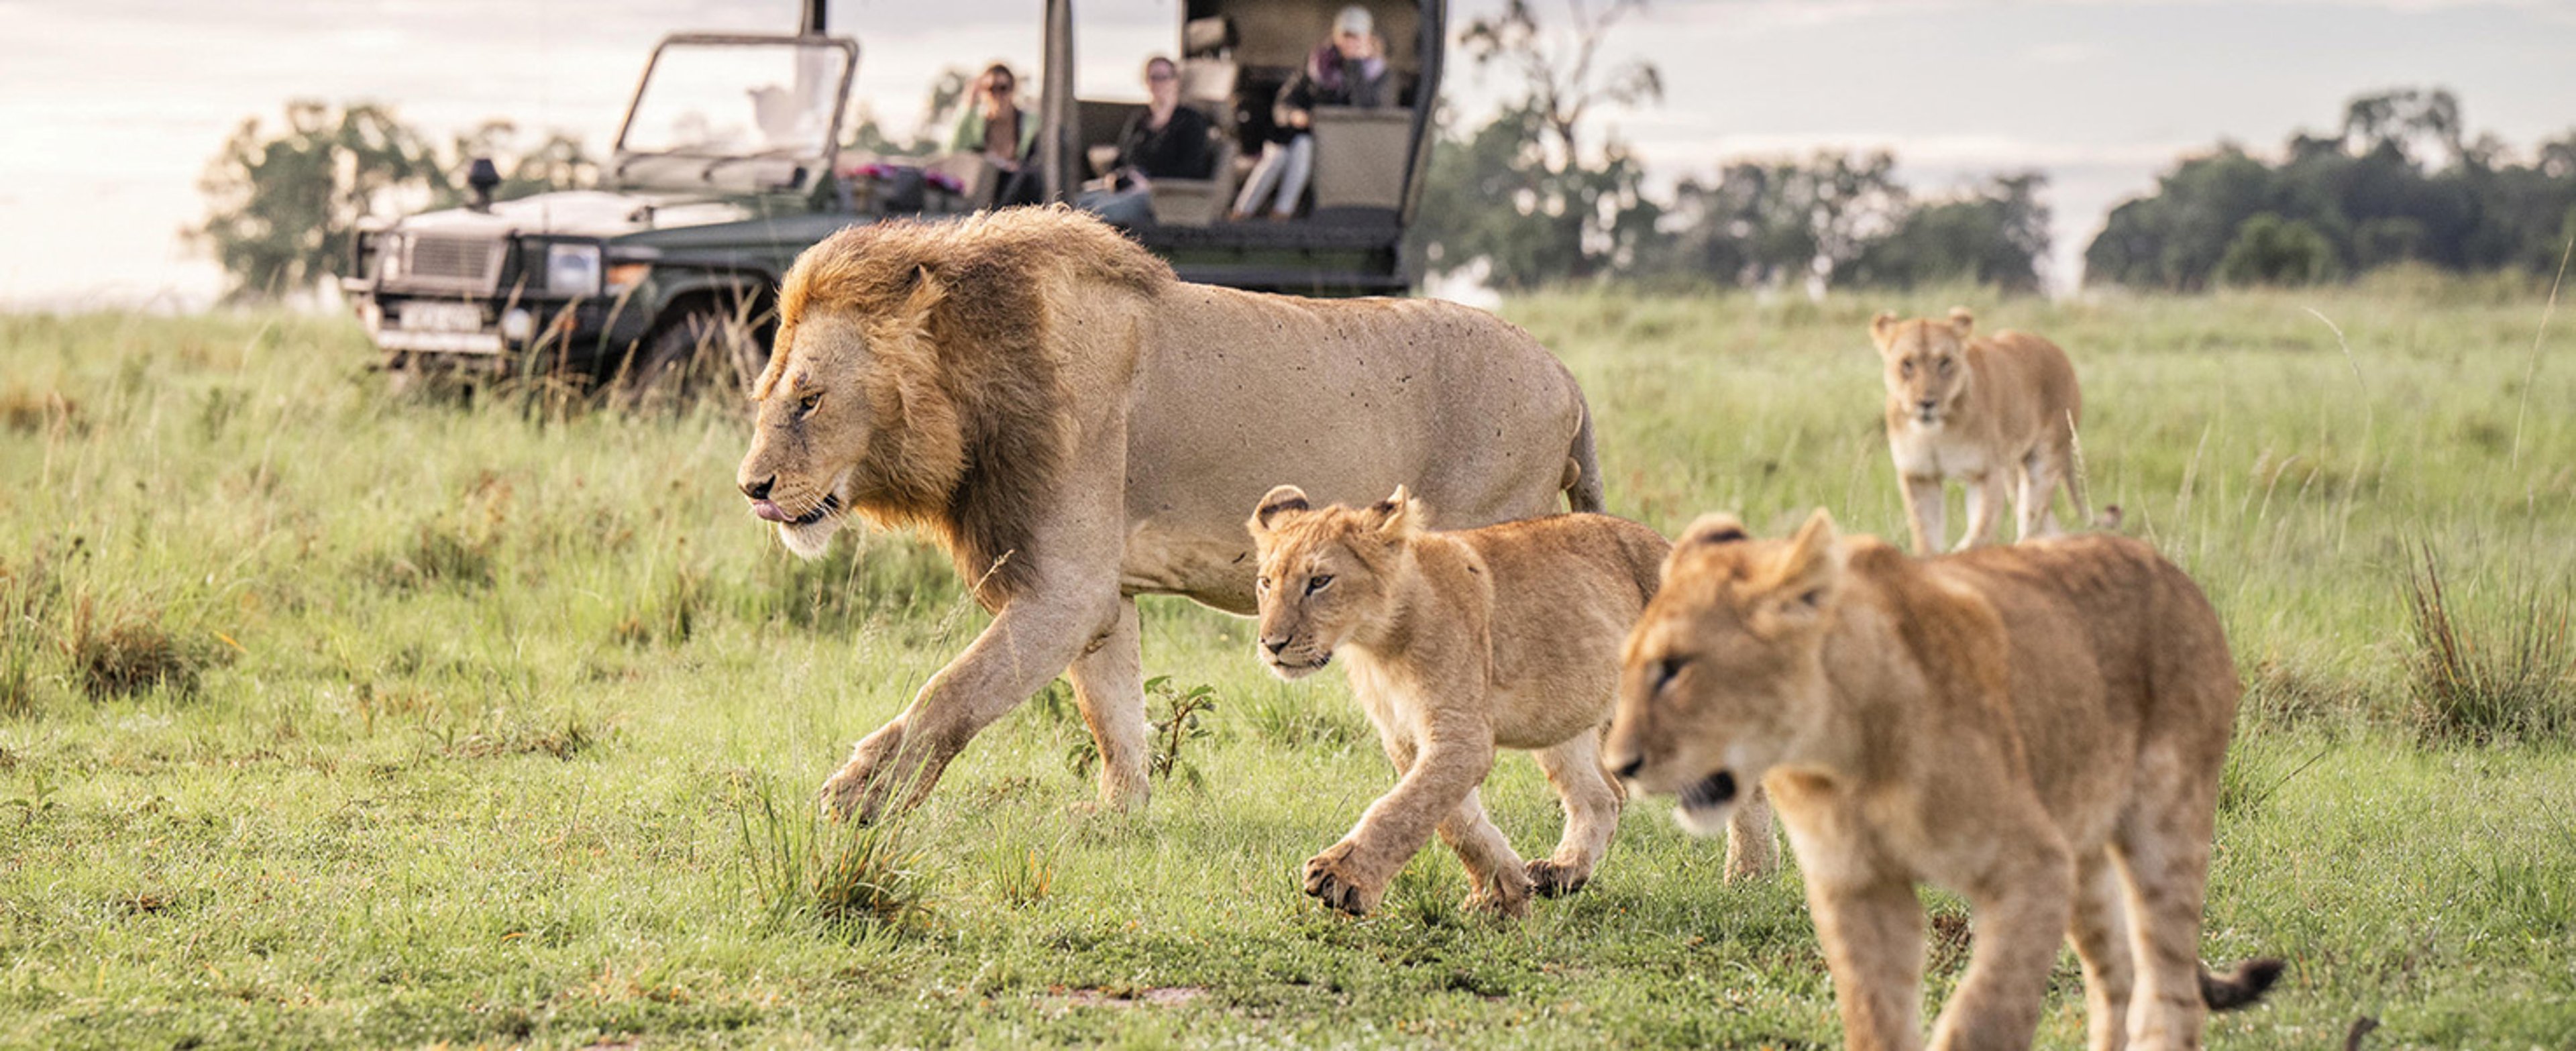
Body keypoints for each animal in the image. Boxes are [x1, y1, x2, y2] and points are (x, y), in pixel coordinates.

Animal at [736, 207, 1605, 821]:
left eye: (810, 400)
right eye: (764, 396)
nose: (752, 488)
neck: (972, 376)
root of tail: (1567, 376)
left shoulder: (1065, 589)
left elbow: (951, 693)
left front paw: (858, 798)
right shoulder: (1099, 593)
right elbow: (1113, 712)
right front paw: (1118, 817)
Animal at [1245, 485, 1776, 918]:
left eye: (1320, 581)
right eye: (1266, 582)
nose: (1271, 643)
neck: (1377, 644)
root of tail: (1670, 547)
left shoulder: (1461, 735)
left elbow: (1403, 809)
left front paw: (1341, 879)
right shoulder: (1407, 737)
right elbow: (1452, 819)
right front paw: (1502, 891)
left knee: (1746, 782)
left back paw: (1752, 876)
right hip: (1562, 715)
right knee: (1603, 795)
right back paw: (1563, 871)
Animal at [1606, 511, 2280, 1051]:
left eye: (1675, 668)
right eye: (1628, 667)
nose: (1619, 766)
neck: (1842, 753)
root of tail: (2175, 574)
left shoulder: (2034, 867)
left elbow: (1983, 1014)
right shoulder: (1858, 886)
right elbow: (1876, 1019)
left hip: (2164, 829)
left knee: (2172, 990)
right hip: (2082, 848)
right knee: (2118, 976)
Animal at [1873, 308, 2087, 555]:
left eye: (1945, 362)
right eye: (1907, 364)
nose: (1927, 403)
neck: (1935, 433)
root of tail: (2057, 350)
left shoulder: (1985, 474)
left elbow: (1980, 532)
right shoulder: (1919, 477)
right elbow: (1925, 537)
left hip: (2044, 460)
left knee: (2031, 518)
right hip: (2013, 471)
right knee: (2047, 523)